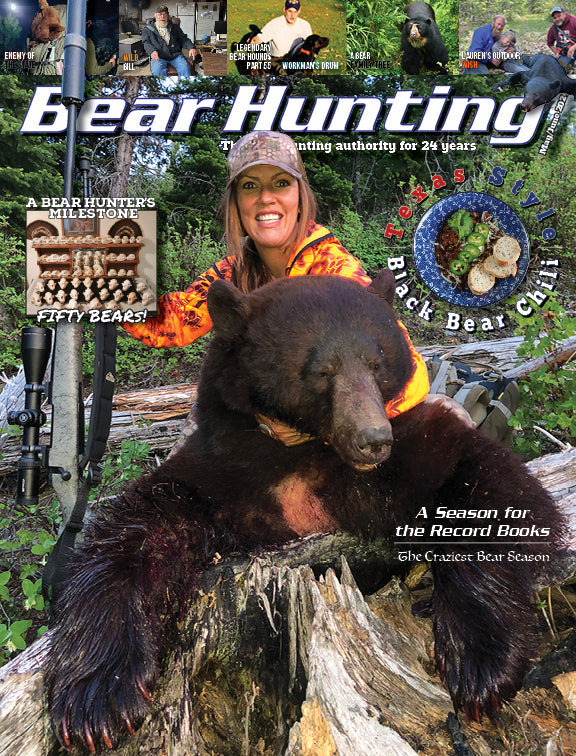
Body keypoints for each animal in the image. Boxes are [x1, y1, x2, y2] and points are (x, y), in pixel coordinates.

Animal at [43, 271, 565, 752]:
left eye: (377, 362)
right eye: (321, 370)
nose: (373, 439)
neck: (302, 452)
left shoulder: (409, 454)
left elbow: (493, 489)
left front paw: (481, 662)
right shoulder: (221, 473)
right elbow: (133, 536)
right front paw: (98, 696)